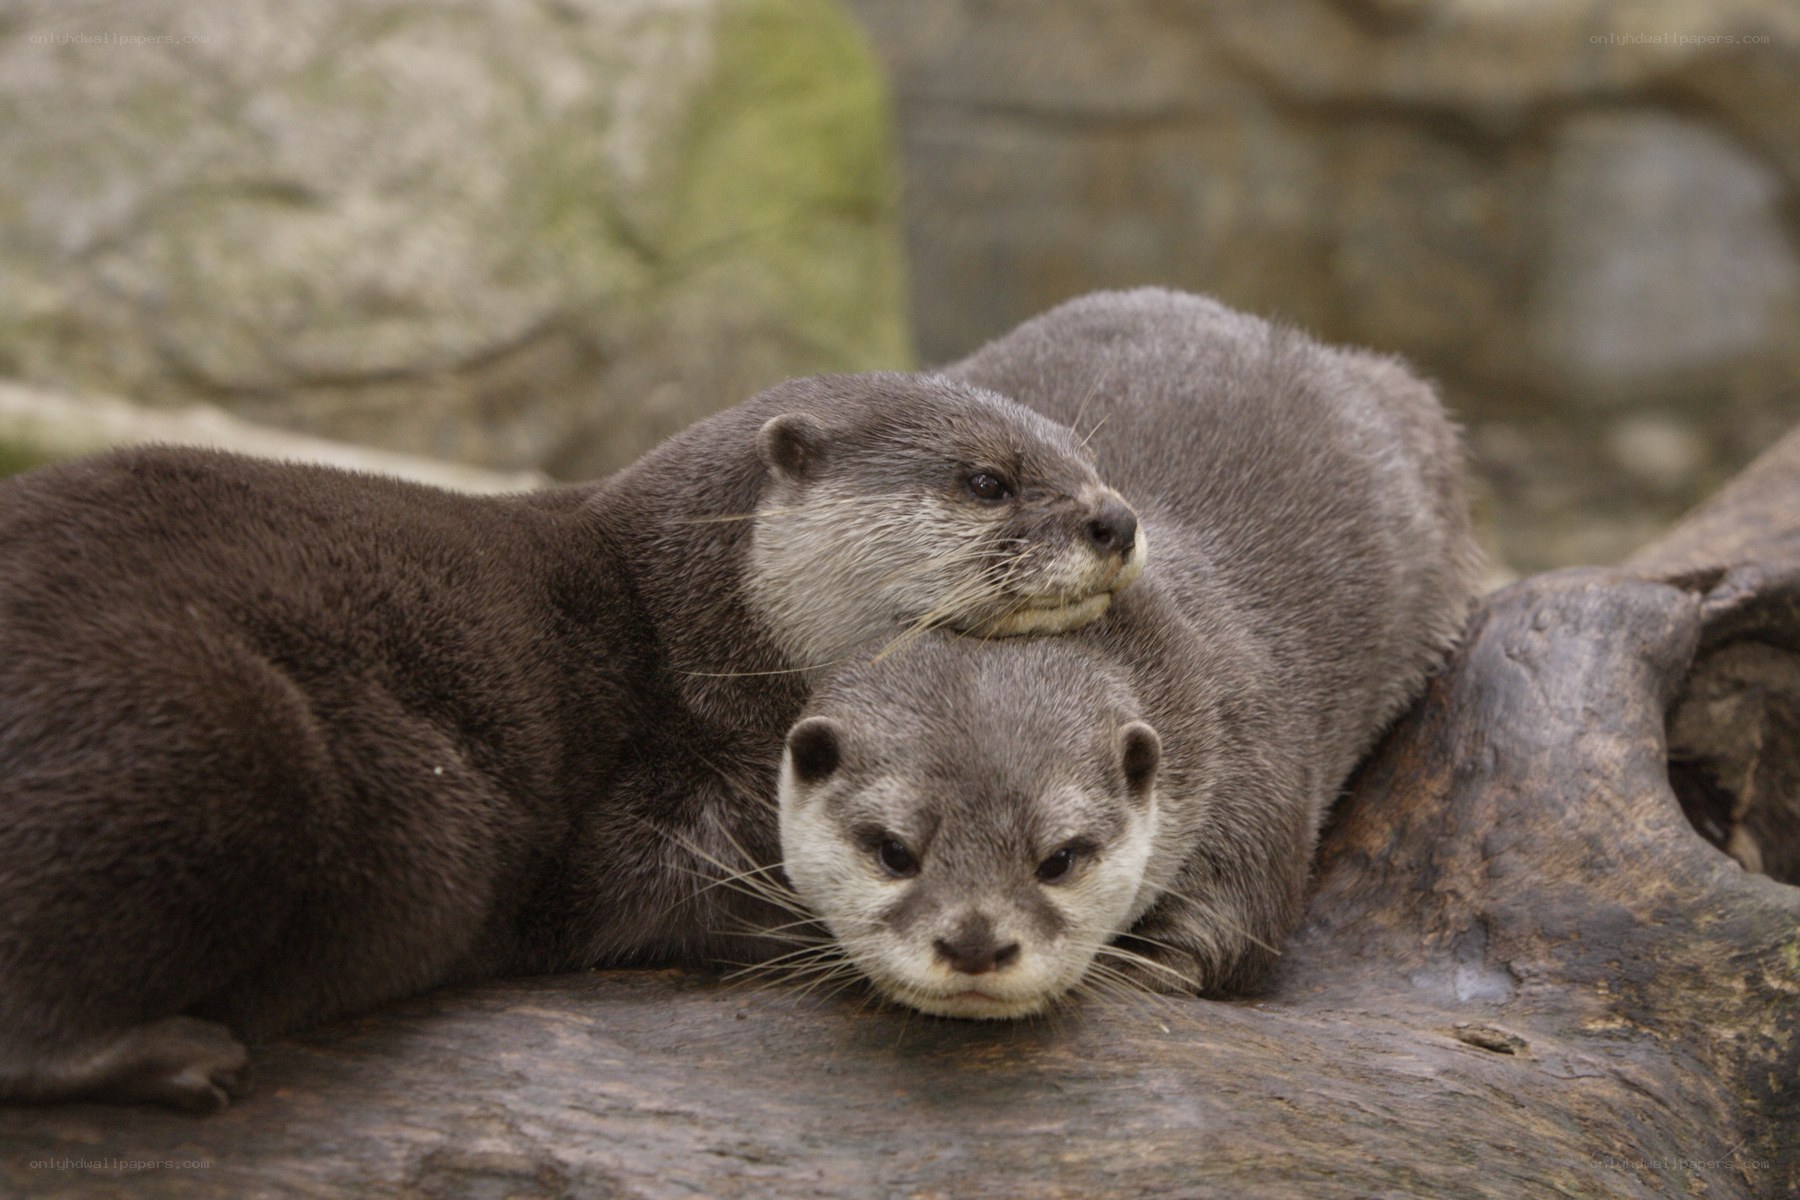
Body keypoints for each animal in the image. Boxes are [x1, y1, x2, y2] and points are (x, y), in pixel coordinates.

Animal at [0, 370, 1141, 1111]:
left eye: (1092, 462)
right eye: (986, 481)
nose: (1116, 519)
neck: (680, 626)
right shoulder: (649, 791)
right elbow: (675, 889)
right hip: (220, 735)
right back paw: (179, 1059)